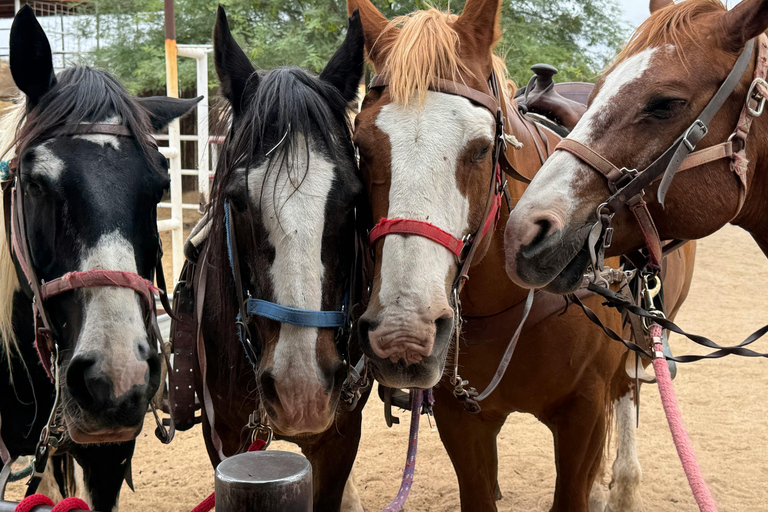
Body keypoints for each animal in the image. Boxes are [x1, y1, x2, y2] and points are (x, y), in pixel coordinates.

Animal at [348, 0, 696, 510]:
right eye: (362, 146)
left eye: (478, 149)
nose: (403, 332)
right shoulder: (461, 420)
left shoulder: (583, 415)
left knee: (628, 395)